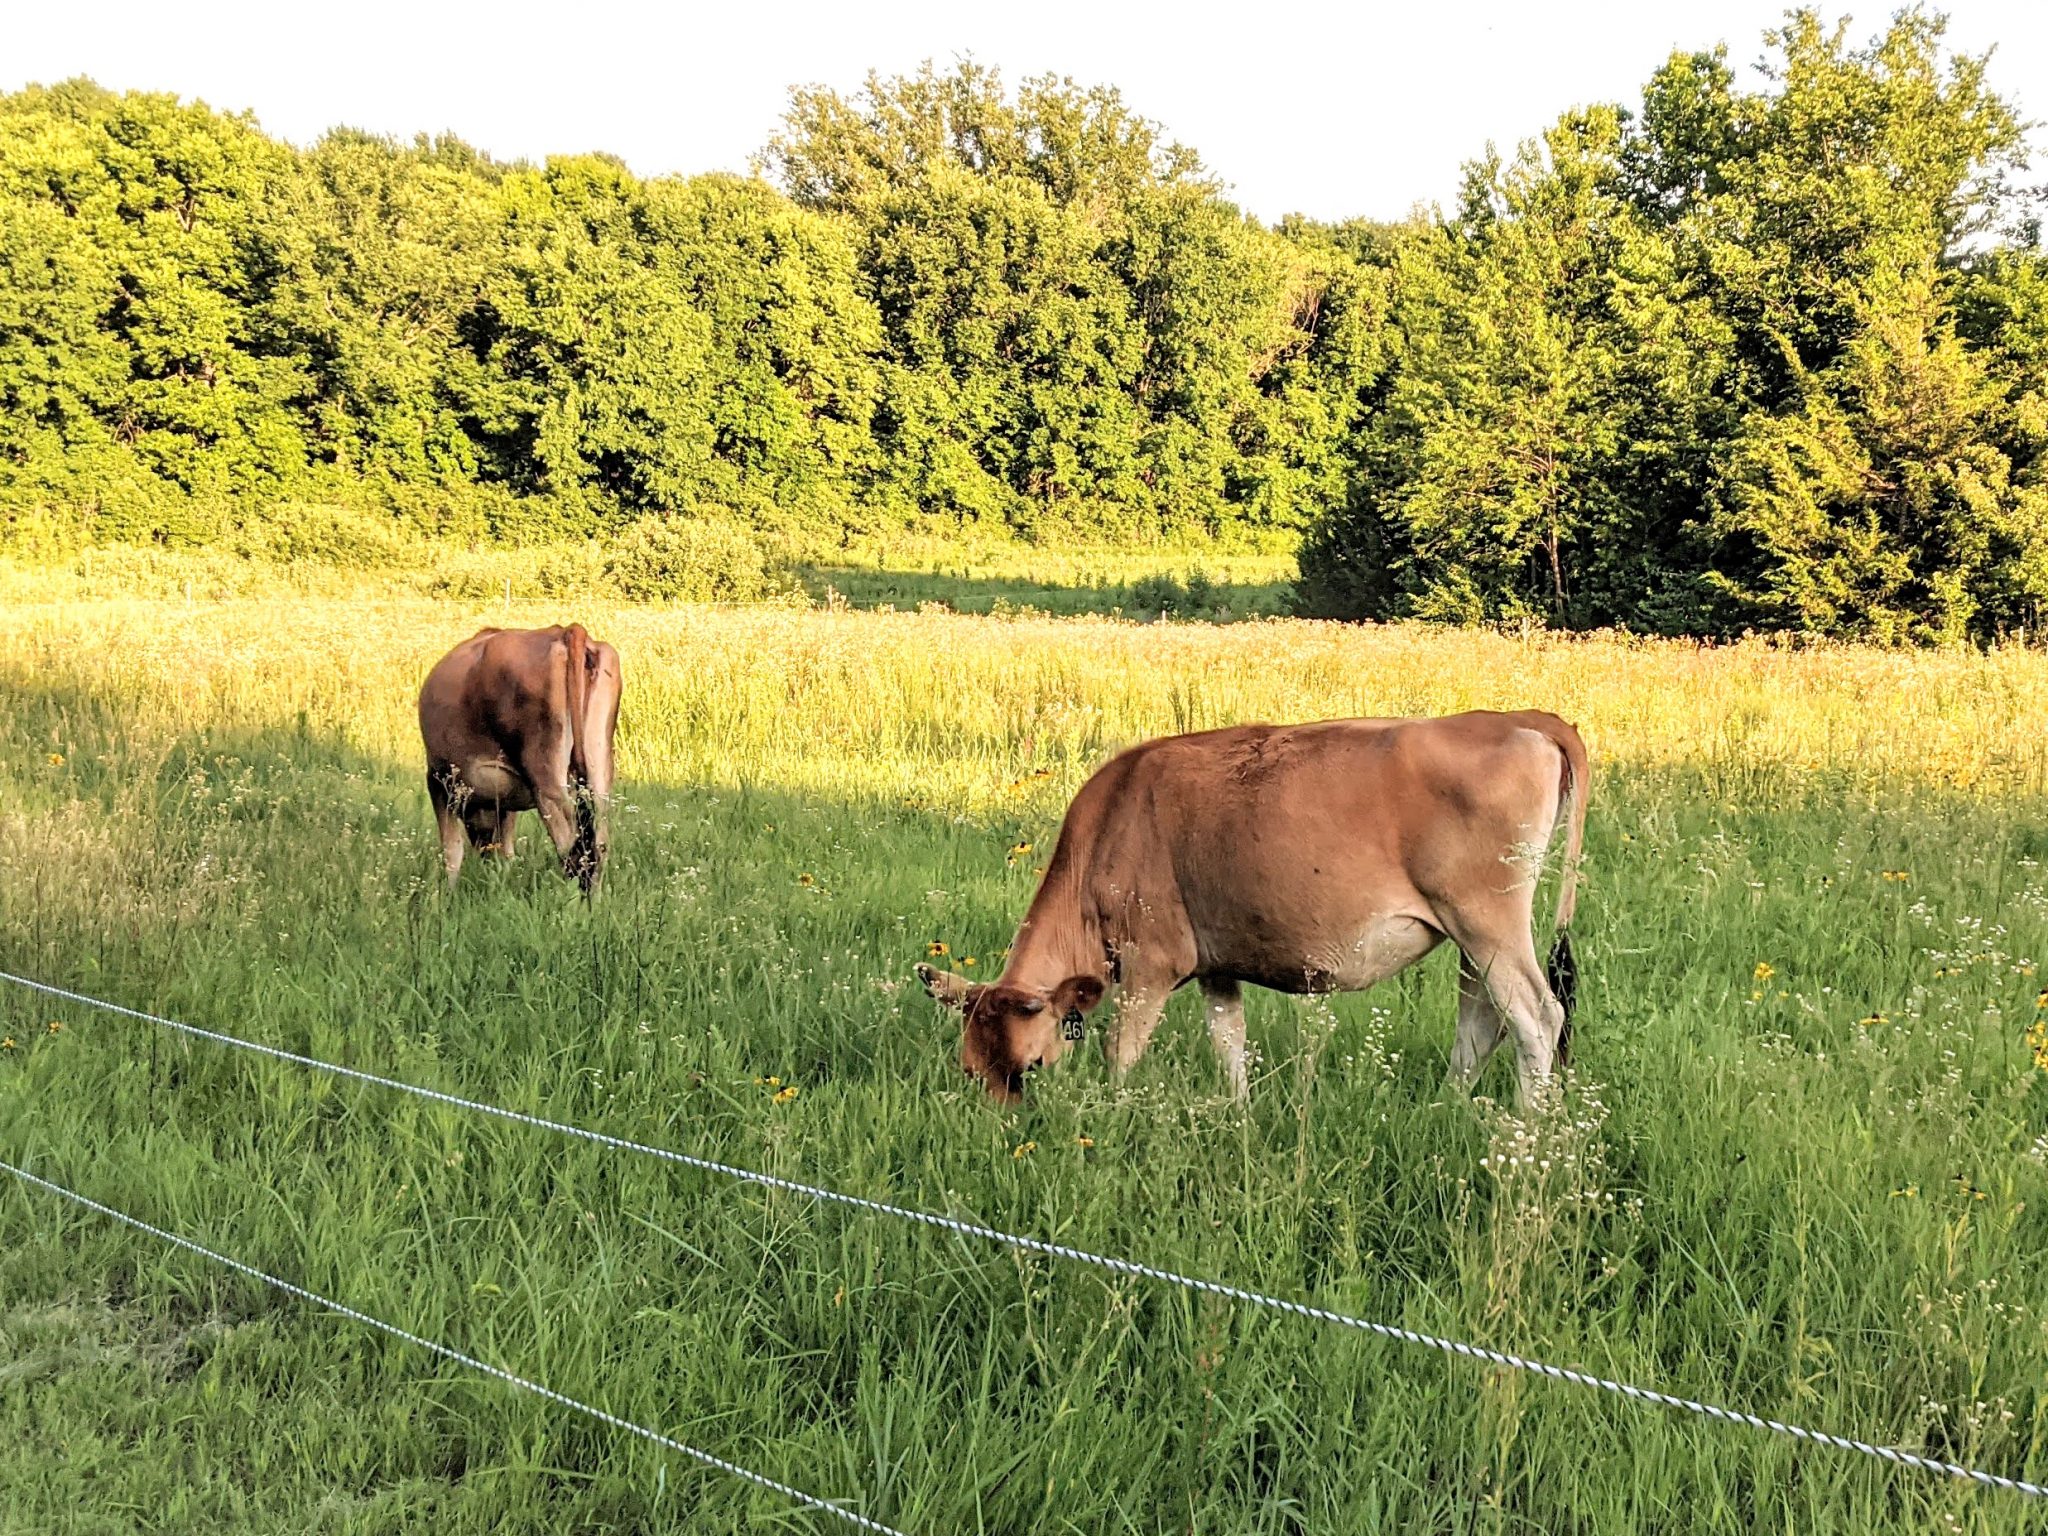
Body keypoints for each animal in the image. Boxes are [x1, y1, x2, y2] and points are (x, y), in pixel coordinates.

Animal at [418, 624, 622, 892]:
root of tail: (565, 631)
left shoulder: (438, 779)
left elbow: (452, 852)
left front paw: (445, 897)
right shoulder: (505, 799)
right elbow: (507, 852)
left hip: (546, 778)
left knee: (573, 850)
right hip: (599, 772)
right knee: (598, 847)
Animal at [917, 711, 1588, 1106]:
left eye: (1031, 1066)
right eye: (971, 1071)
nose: (1008, 1132)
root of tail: (1521, 718)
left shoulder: (1152, 961)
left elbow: (1121, 1052)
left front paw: (1112, 1116)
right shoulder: (1217, 965)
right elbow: (1230, 1048)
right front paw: (1240, 1122)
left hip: (1488, 920)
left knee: (1537, 1017)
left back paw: (1523, 1140)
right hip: (1471, 934)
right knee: (1481, 1022)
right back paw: (1446, 1109)